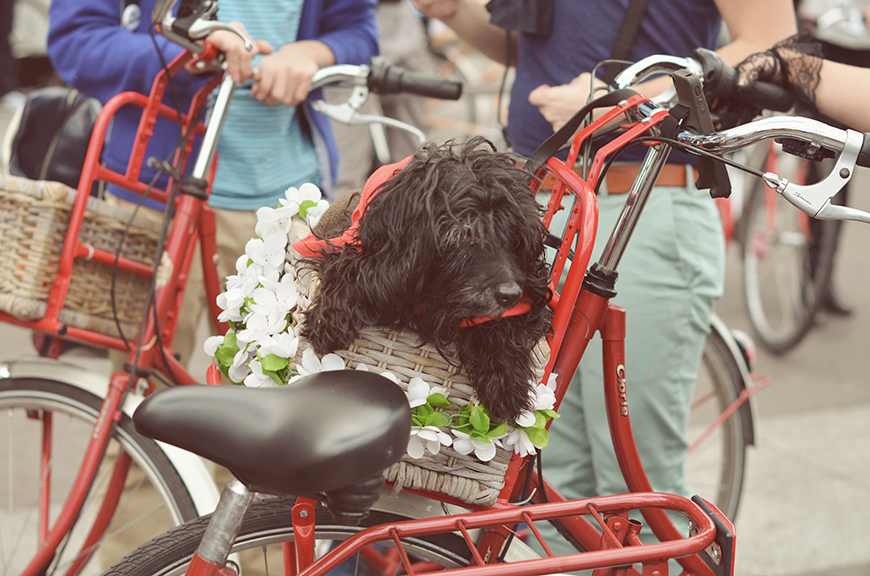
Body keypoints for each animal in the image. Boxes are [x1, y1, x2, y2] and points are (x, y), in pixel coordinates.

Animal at [302, 136, 552, 424]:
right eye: (466, 233)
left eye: (515, 240)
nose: (510, 295)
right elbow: (346, 269)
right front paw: (328, 320)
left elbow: (504, 328)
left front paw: (507, 383)